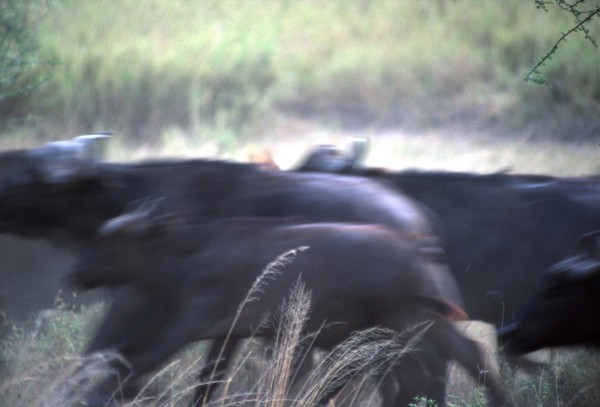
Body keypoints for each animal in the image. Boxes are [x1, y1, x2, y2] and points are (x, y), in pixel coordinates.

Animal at [68, 202, 512, 407]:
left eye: (113, 240)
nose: (77, 272)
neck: (191, 254)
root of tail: (415, 246)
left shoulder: (188, 324)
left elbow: (133, 361)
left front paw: (97, 393)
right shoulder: (227, 335)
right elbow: (208, 379)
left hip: (403, 322)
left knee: (434, 368)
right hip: (415, 322)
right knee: (464, 355)